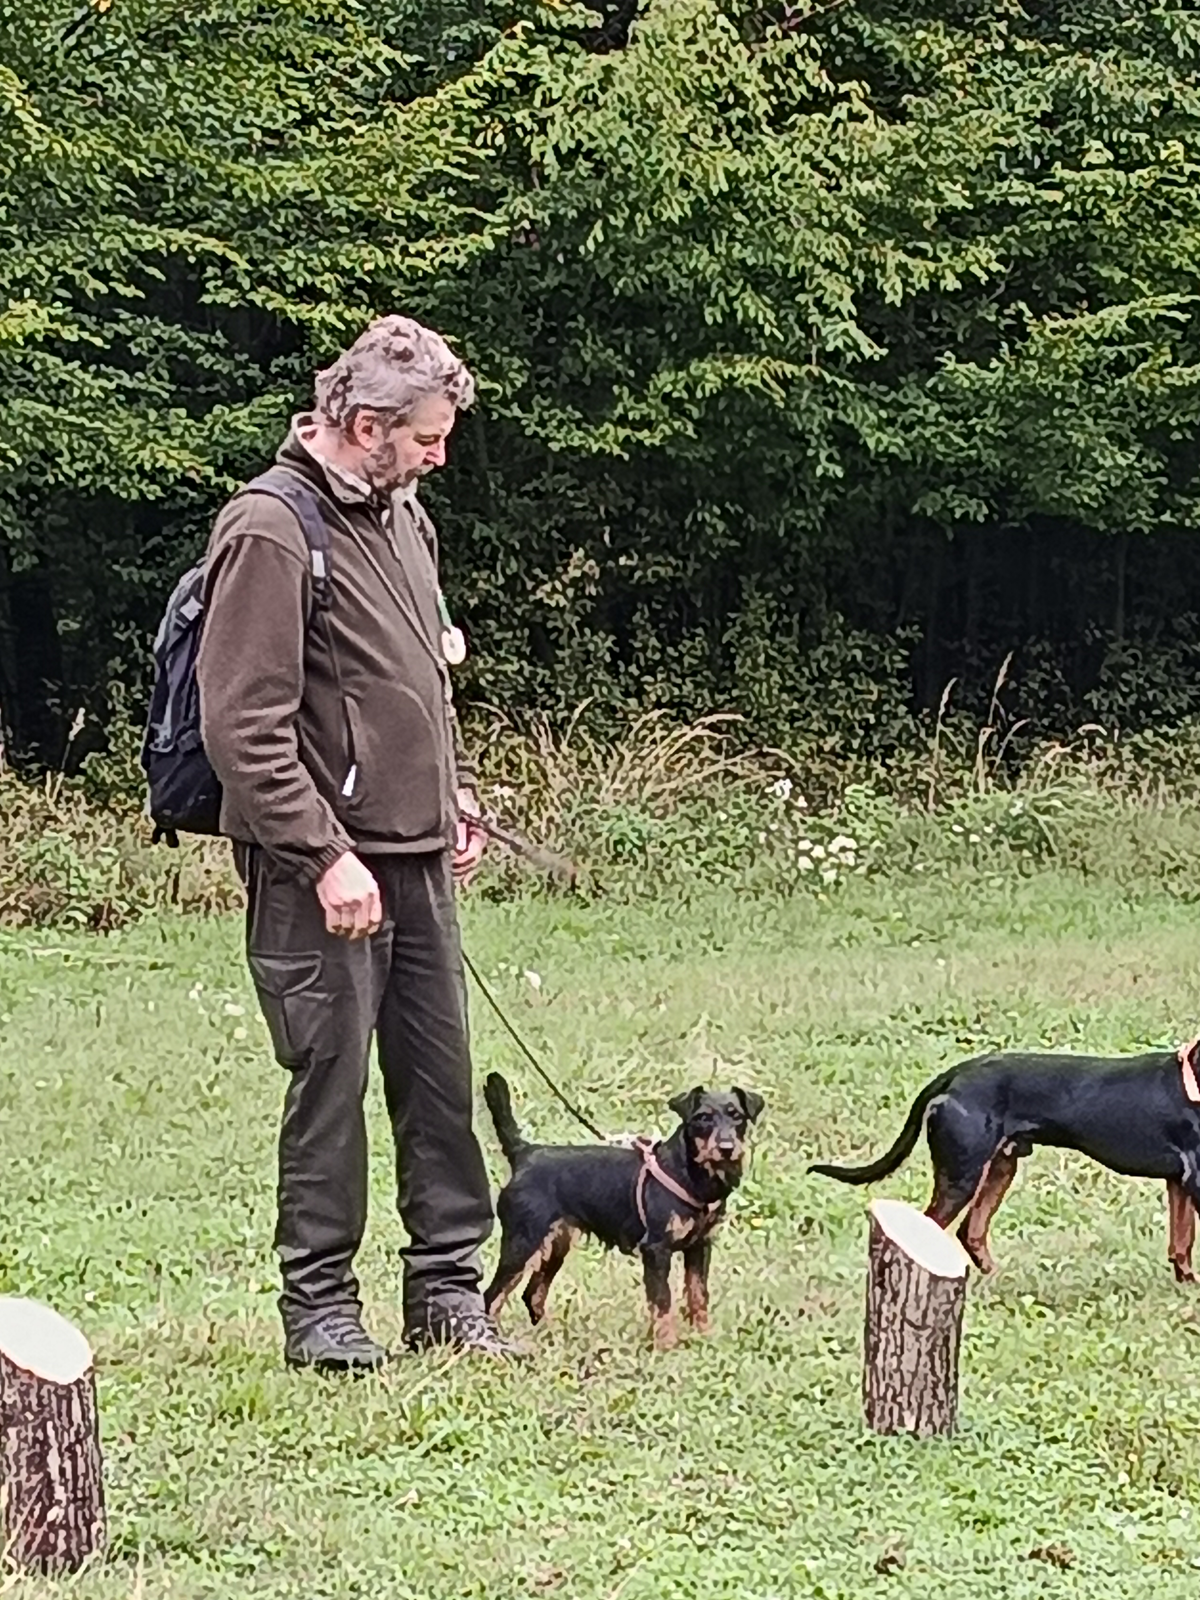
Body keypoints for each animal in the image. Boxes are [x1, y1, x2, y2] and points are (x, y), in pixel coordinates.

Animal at [482, 1073, 764, 1348]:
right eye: (703, 1117)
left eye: (737, 1116)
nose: (727, 1148)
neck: (690, 1174)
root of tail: (524, 1152)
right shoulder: (656, 1250)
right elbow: (662, 1302)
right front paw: (666, 1346)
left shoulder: (699, 1247)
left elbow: (698, 1294)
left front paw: (703, 1336)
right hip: (522, 1244)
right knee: (491, 1297)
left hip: (555, 1245)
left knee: (533, 1294)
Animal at [808, 1040, 1200, 1279]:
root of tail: (953, 1075)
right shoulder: (1194, 1179)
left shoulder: (1180, 1182)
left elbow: (1181, 1244)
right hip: (962, 1173)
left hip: (1000, 1167)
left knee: (971, 1230)